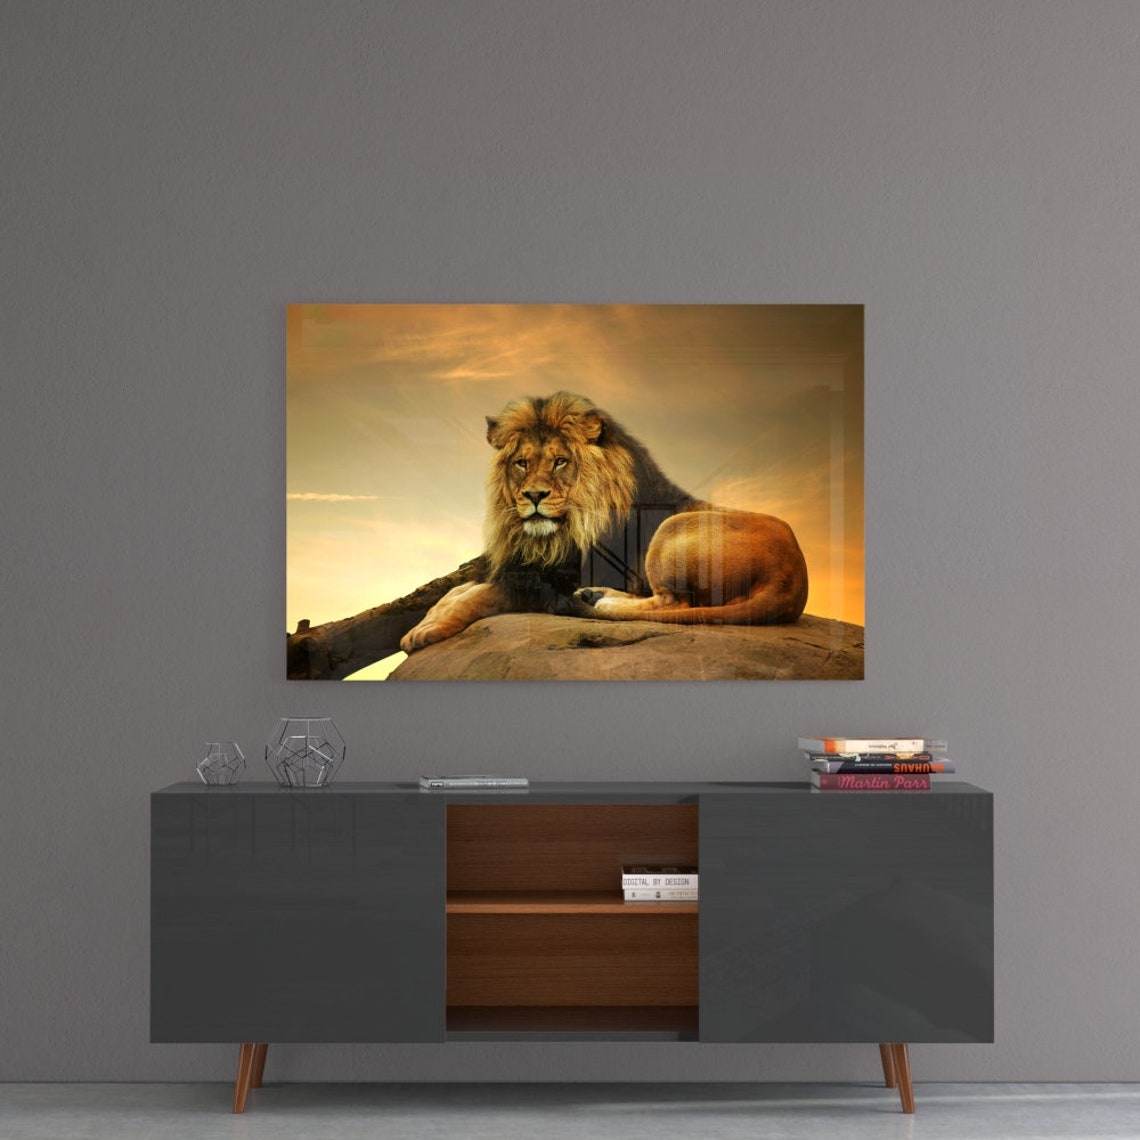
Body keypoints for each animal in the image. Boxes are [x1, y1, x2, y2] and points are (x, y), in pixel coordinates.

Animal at [399, 391, 808, 653]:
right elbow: (458, 590)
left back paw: (599, 601)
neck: (553, 535)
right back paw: (594, 596)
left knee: (672, 602)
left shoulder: (550, 579)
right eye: (522, 463)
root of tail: (793, 578)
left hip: (671, 531)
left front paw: (429, 630)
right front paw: (424, 621)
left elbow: (481, 594)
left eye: (560, 462)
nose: (534, 496)